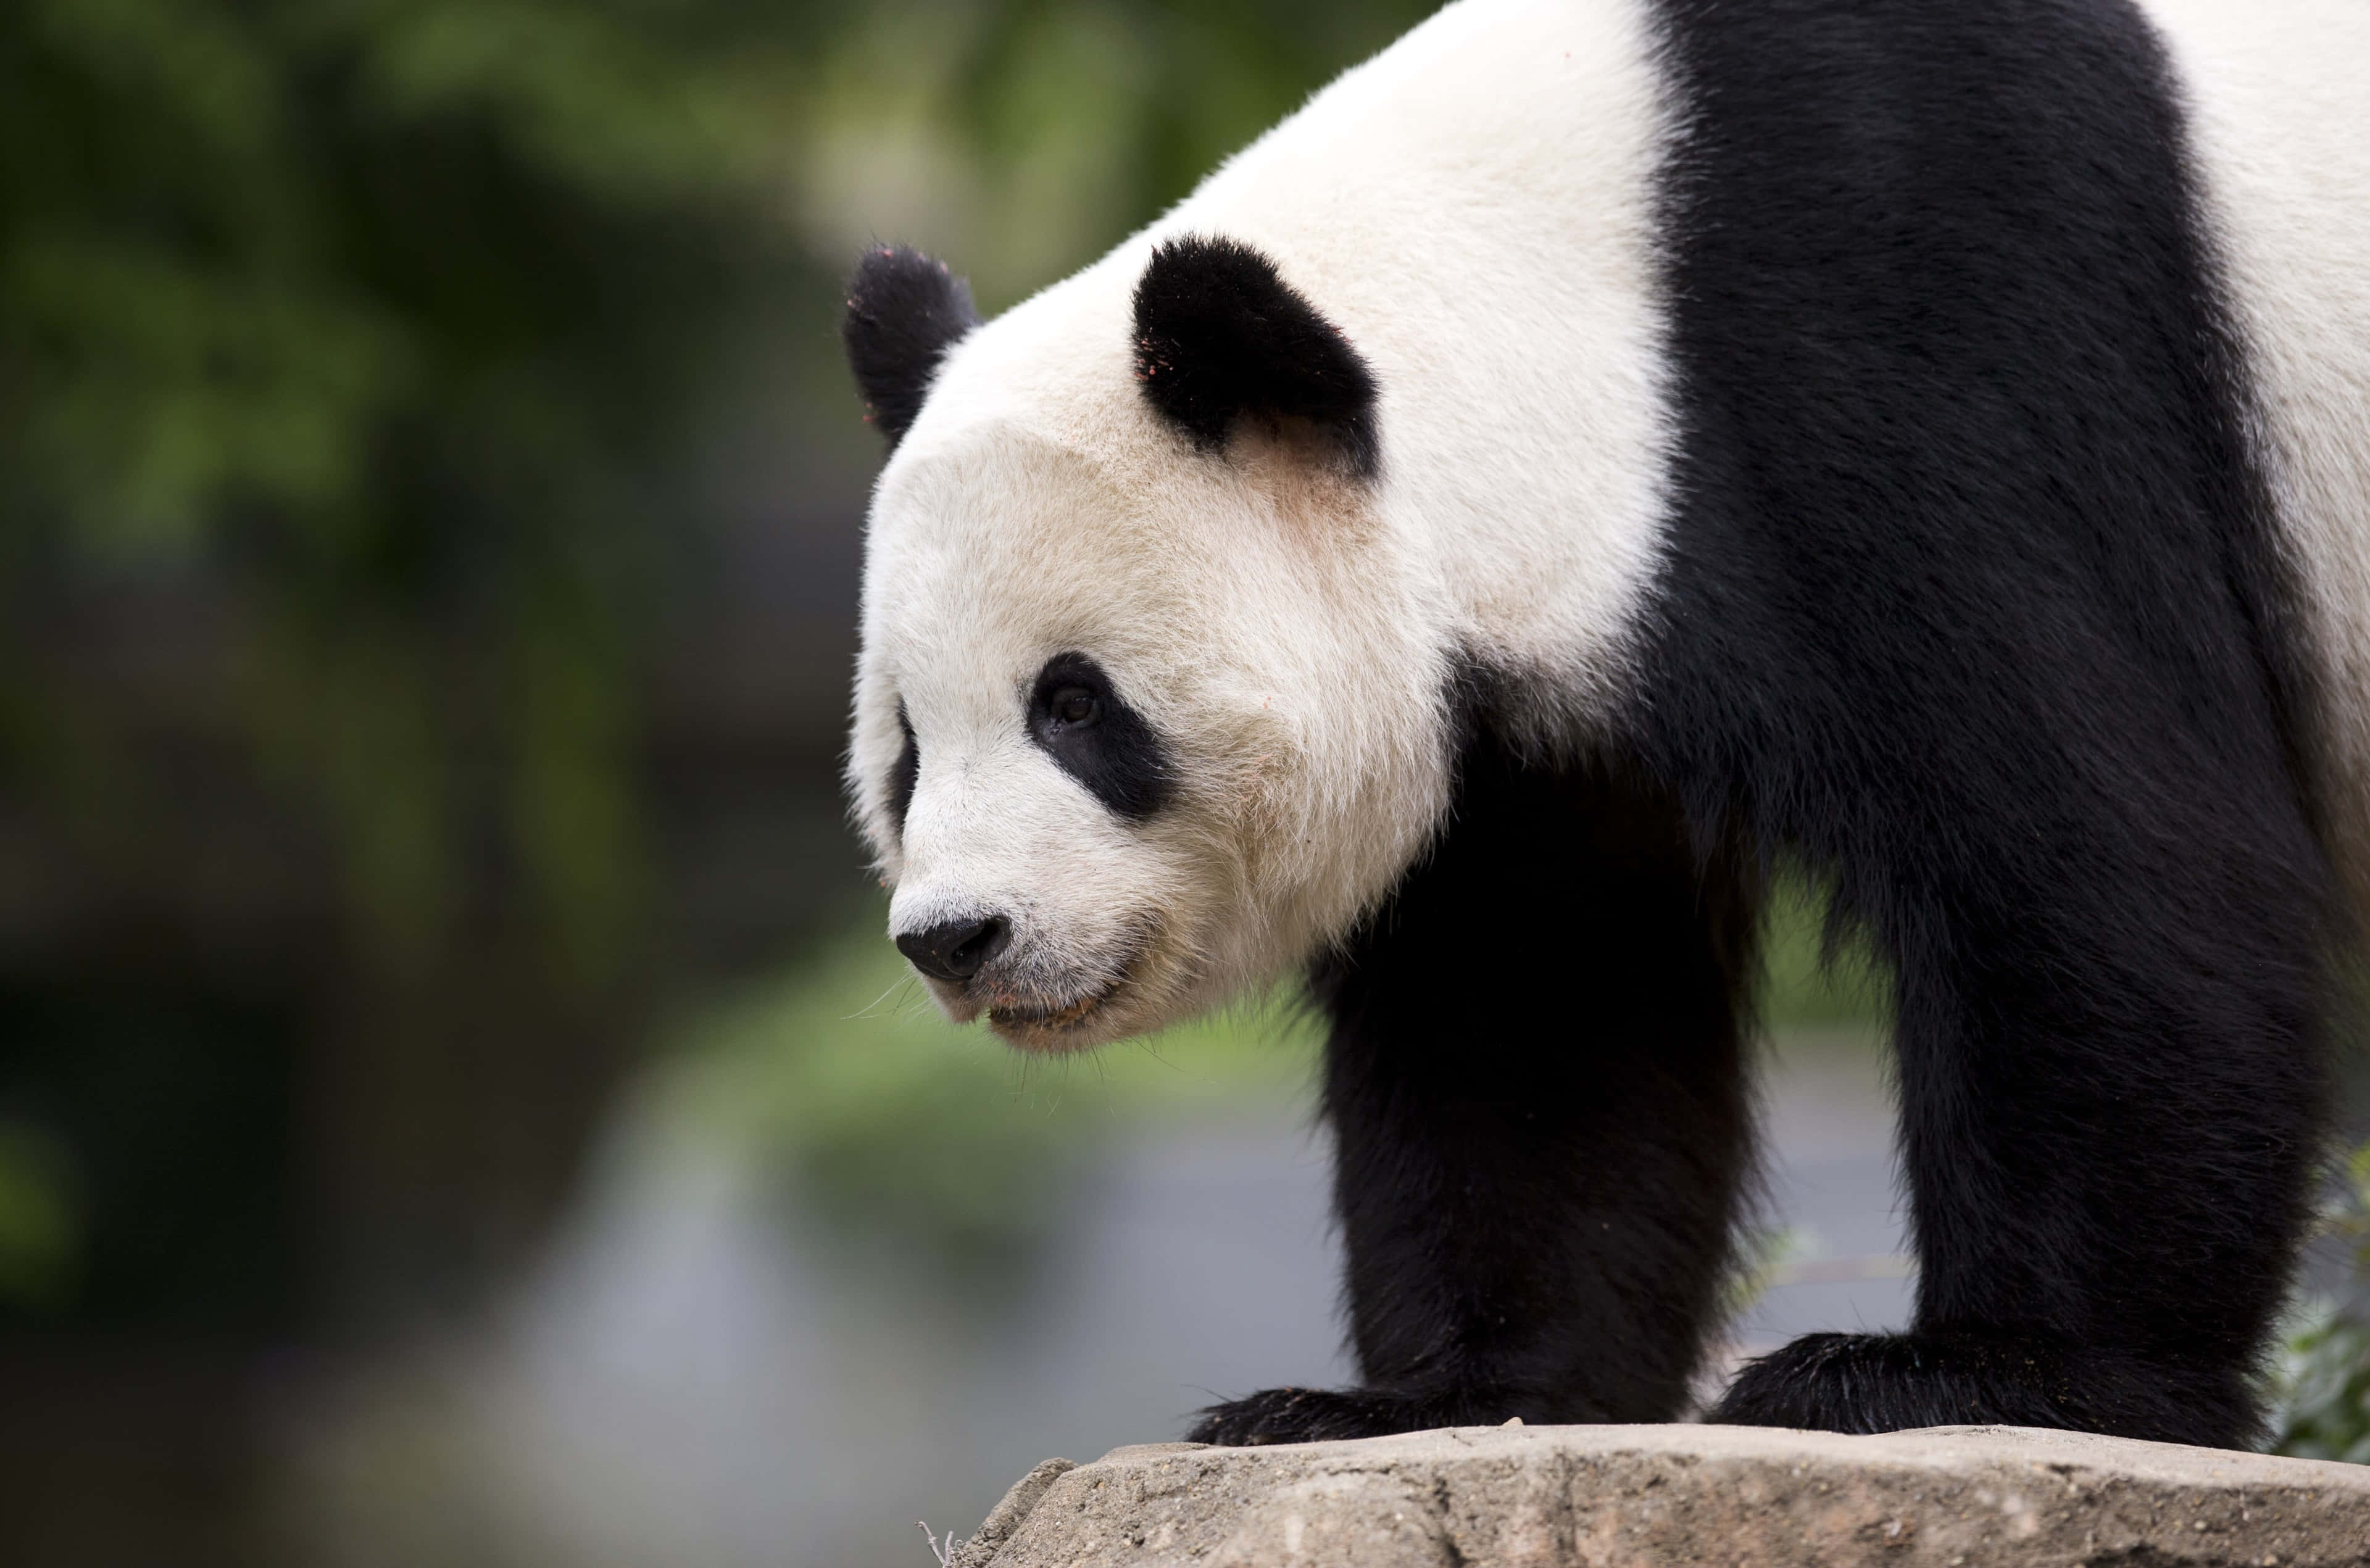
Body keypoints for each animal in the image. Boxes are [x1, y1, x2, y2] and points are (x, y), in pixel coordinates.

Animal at [838, 0, 2370, 1449]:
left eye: (1075, 703)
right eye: (908, 746)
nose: (959, 937)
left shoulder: (1957, 334)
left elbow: (2103, 855)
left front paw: (1975, 1373)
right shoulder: (1549, 703)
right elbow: (1541, 1005)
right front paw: (1436, 1395)